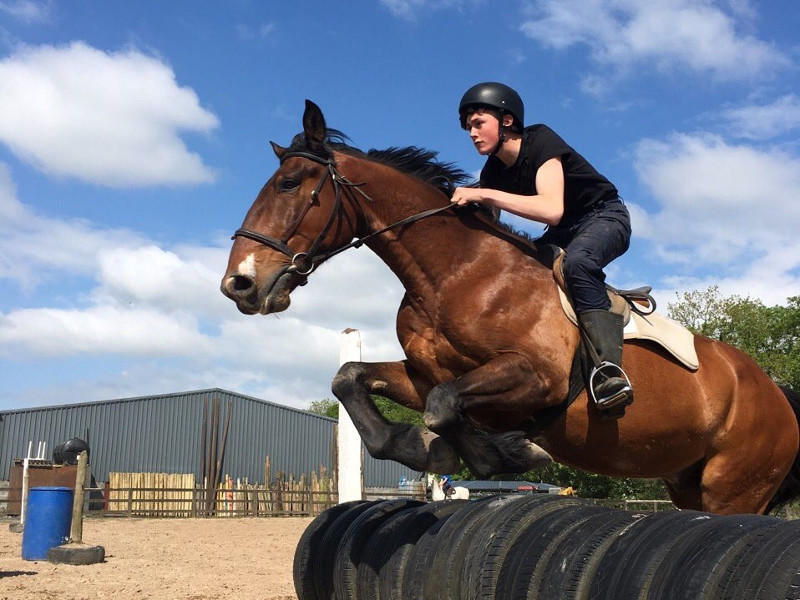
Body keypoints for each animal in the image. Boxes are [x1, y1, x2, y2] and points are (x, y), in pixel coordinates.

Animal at [220, 101, 800, 512]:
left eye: (289, 184)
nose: (238, 285)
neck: (453, 274)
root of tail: (775, 390)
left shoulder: (537, 377)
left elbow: (445, 406)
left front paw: (506, 452)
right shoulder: (424, 373)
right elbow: (353, 380)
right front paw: (426, 448)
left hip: (734, 489)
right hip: (687, 482)